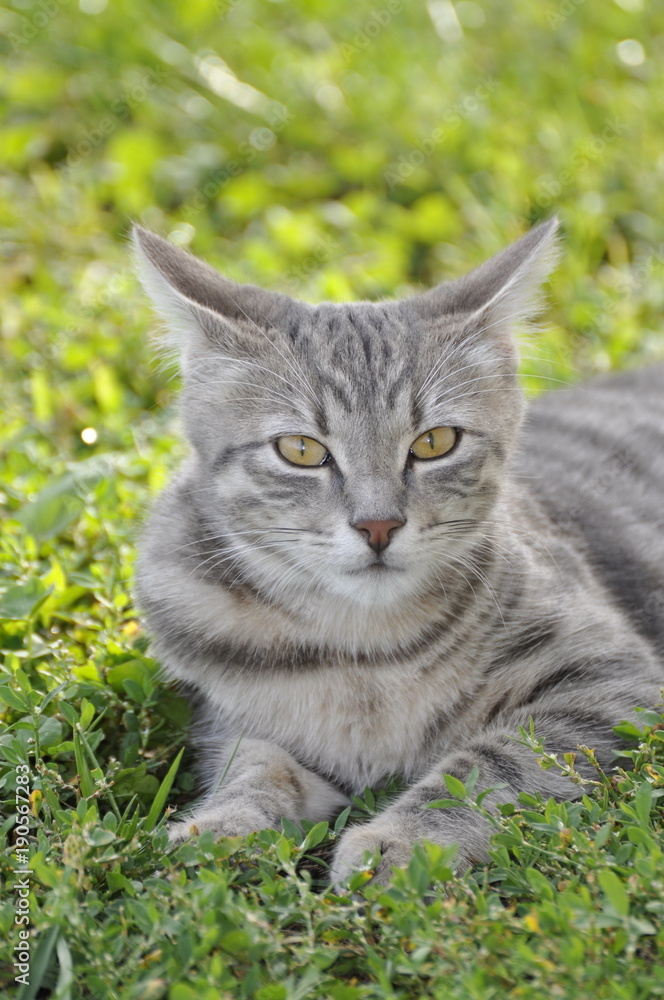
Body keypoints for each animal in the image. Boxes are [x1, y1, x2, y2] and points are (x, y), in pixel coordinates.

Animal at [131, 223, 664, 888]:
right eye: (300, 450)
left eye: (435, 442)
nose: (378, 524)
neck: (365, 653)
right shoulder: (232, 717)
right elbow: (258, 768)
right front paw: (218, 829)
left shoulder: (614, 681)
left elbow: (493, 763)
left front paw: (403, 840)